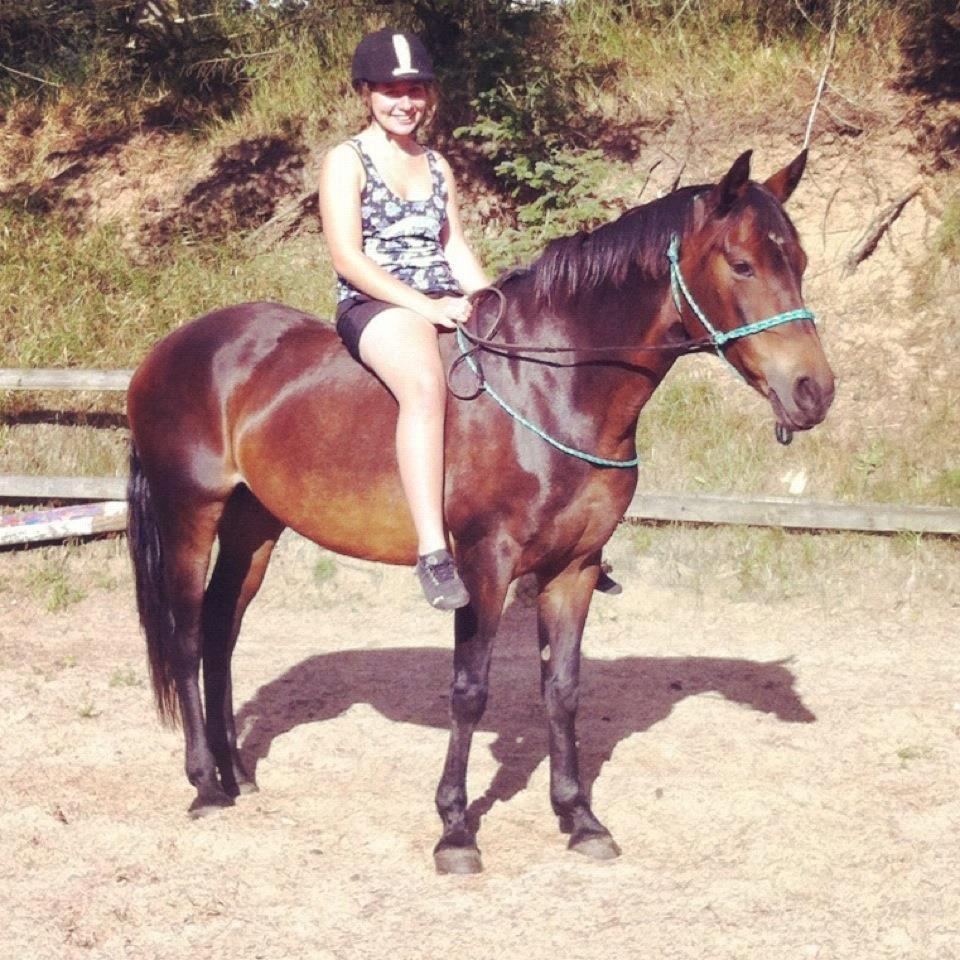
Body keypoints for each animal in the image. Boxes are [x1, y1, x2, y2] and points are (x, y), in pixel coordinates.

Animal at [126, 149, 834, 874]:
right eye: (742, 263)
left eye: (800, 260)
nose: (814, 391)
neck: (551, 385)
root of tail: (171, 349)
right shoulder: (483, 566)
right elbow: (470, 691)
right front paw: (455, 831)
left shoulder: (575, 568)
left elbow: (563, 688)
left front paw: (579, 818)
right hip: (190, 515)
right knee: (187, 635)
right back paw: (206, 785)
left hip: (254, 526)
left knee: (220, 631)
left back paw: (236, 773)